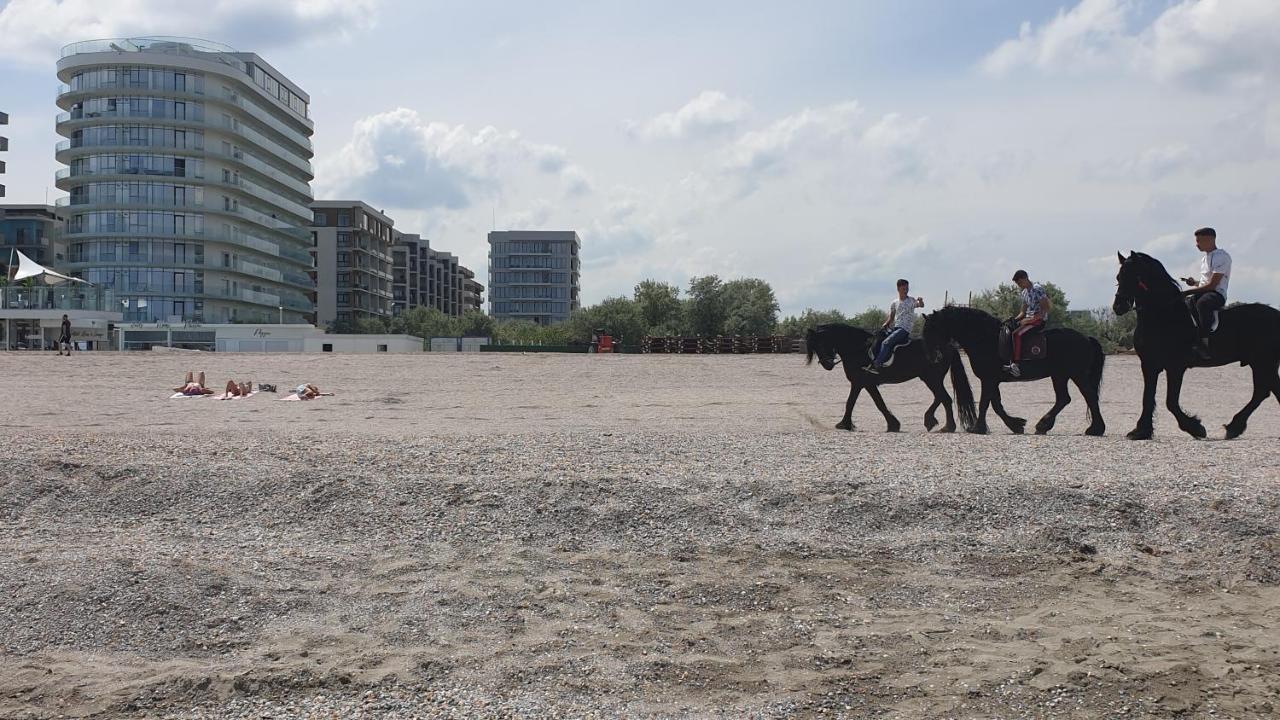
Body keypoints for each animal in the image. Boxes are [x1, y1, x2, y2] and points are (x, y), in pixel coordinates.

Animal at [803, 324, 972, 430]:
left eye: (820, 344)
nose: (827, 365)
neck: (857, 349)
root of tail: (949, 346)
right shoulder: (861, 383)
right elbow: (857, 402)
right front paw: (845, 424)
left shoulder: (863, 382)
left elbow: (870, 403)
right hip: (932, 379)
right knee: (940, 397)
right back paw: (930, 420)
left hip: (931, 379)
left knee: (945, 398)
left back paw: (947, 427)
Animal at [926, 304, 1105, 435]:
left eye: (932, 329)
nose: (932, 356)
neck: (985, 338)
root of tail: (1086, 338)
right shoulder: (992, 380)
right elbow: (996, 405)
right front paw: (1016, 425)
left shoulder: (988, 379)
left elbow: (985, 403)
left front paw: (978, 428)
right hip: (1060, 376)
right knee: (1064, 399)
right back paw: (1043, 426)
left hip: (1077, 375)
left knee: (1089, 396)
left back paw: (1095, 429)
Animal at [1111, 251, 1280, 438]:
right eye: (1119, 277)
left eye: (1136, 276)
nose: (1118, 306)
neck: (1163, 315)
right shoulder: (1149, 365)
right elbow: (1147, 397)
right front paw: (1141, 431)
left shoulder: (1175, 367)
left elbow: (1171, 401)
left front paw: (1195, 427)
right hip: (1263, 363)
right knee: (1266, 391)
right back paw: (1234, 427)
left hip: (1263, 362)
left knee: (1262, 391)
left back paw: (1233, 426)